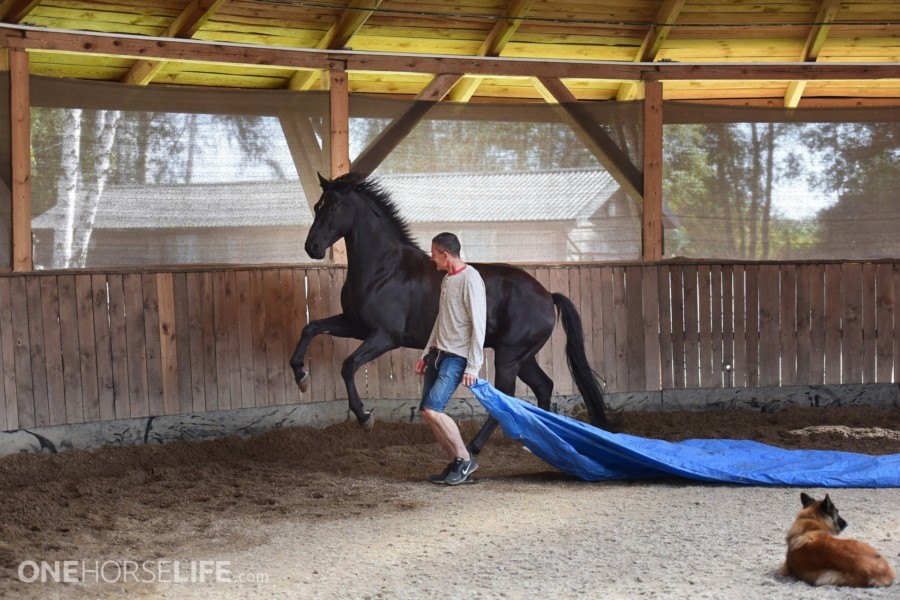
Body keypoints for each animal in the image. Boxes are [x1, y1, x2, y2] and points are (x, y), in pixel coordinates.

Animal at [290, 172, 613, 455]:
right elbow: (311, 328)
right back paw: (534, 443)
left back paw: (475, 446)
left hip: (509, 357)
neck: (384, 269)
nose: (312, 247)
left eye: (333, 207)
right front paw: (301, 377)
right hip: (523, 357)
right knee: (544, 386)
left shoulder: (384, 337)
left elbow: (348, 365)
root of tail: (548, 295)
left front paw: (364, 417)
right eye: (317, 206)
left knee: (507, 397)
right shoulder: (354, 325)